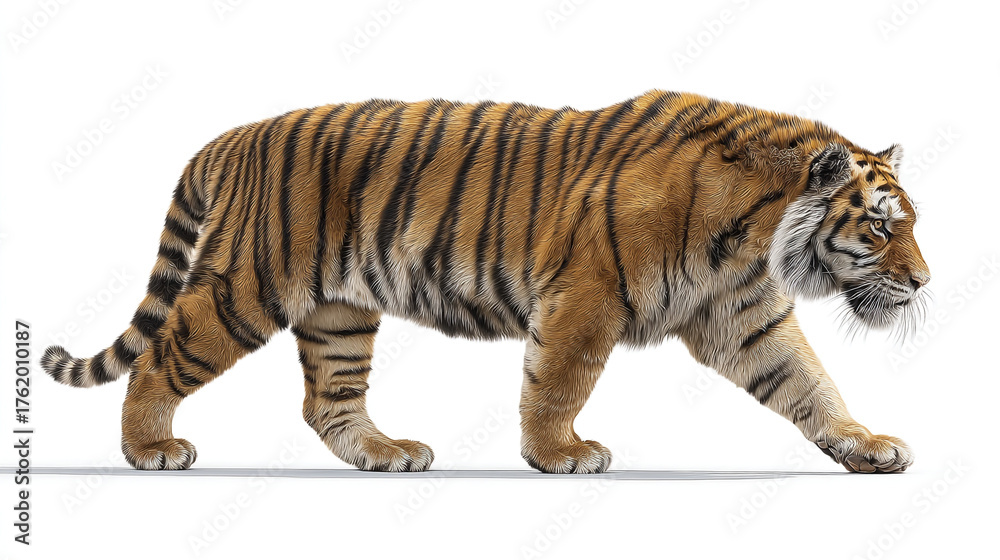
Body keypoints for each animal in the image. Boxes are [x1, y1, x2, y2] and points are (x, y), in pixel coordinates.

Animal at [40, 89, 930, 474]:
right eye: (884, 226)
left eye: (911, 222)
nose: (923, 283)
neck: (753, 234)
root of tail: (231, 136)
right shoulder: (585, 297)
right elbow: (557, 384)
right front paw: (560, 454)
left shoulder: (744, 318)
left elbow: (809, 384)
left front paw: (866, 446)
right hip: (242, 288)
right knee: (161, 356)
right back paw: (151, 449)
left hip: (339, 312)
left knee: (327, 402)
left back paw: (386, 454)